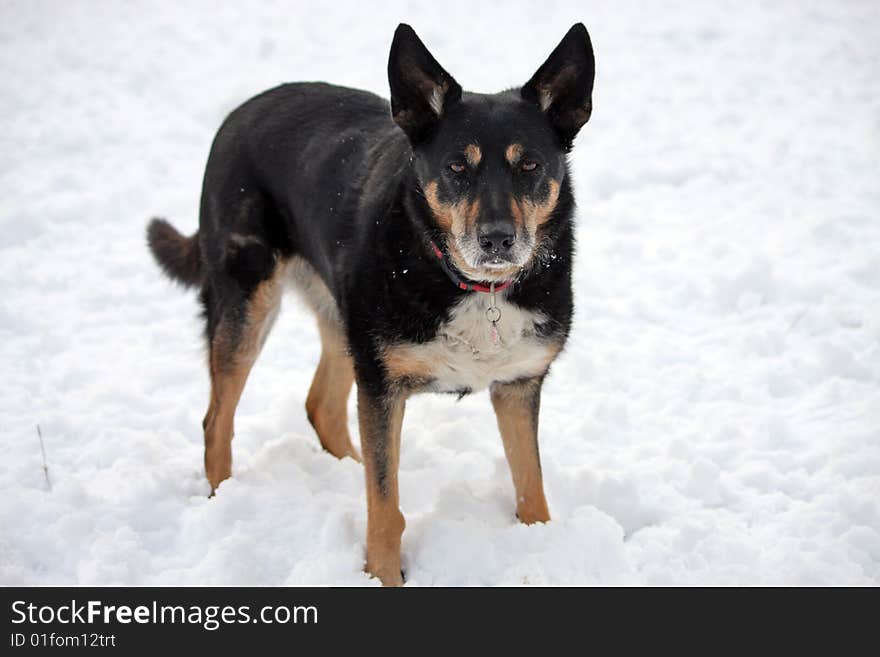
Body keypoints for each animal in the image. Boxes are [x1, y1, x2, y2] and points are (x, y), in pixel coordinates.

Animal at [148, 23, 596, 584]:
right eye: (456, 166)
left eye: (530, 164)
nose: (498, 239)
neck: (473, 286)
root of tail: (243, 110)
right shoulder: (383, 385)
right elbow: (385, 506)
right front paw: (383, 575)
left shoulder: (517, 384)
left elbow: (530, 486)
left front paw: (542, 549)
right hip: (249, 302)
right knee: (217, 421)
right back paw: (222, 501)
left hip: (347, 322)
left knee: (323, 406)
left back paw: (346, 470)